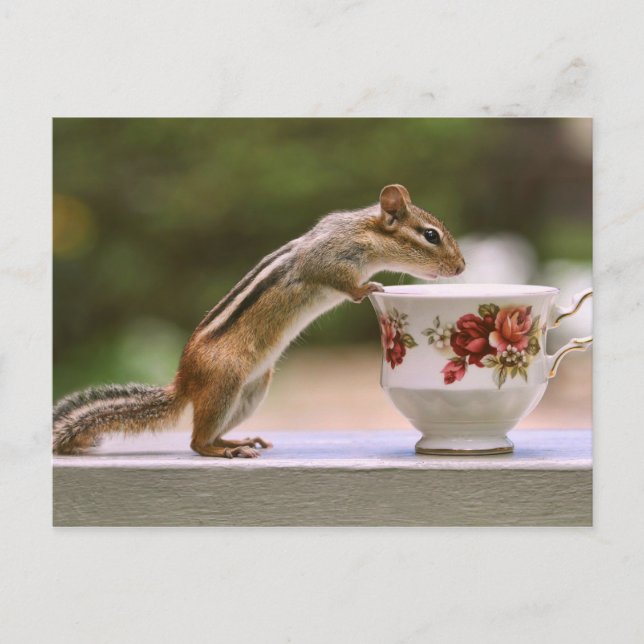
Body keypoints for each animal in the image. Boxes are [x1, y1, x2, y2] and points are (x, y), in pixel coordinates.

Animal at [53, 184, 465, 458]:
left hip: (251, 392)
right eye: (430, 235)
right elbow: (340, 280)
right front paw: (369, 287)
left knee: (210, 433)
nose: (462, 267)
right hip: (225, 382)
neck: (366, 232)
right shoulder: (329, 257)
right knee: (196, 442)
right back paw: (223, 451)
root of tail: (184, 380)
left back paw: (236, 441)